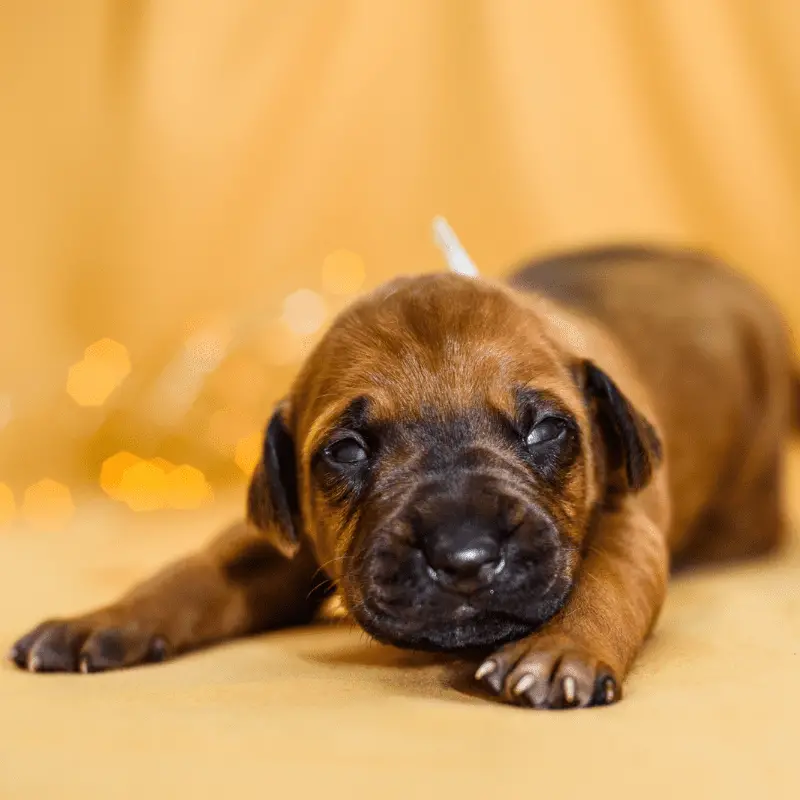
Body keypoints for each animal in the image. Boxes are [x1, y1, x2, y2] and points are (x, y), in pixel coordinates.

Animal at [7, 244, 800, 708]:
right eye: (346, 450)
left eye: (547, 429)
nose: (466, 558)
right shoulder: (278, 538)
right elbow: (195, 571)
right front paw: (102, 620)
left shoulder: (630, 520)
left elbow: (606, 577)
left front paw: (560, 649)